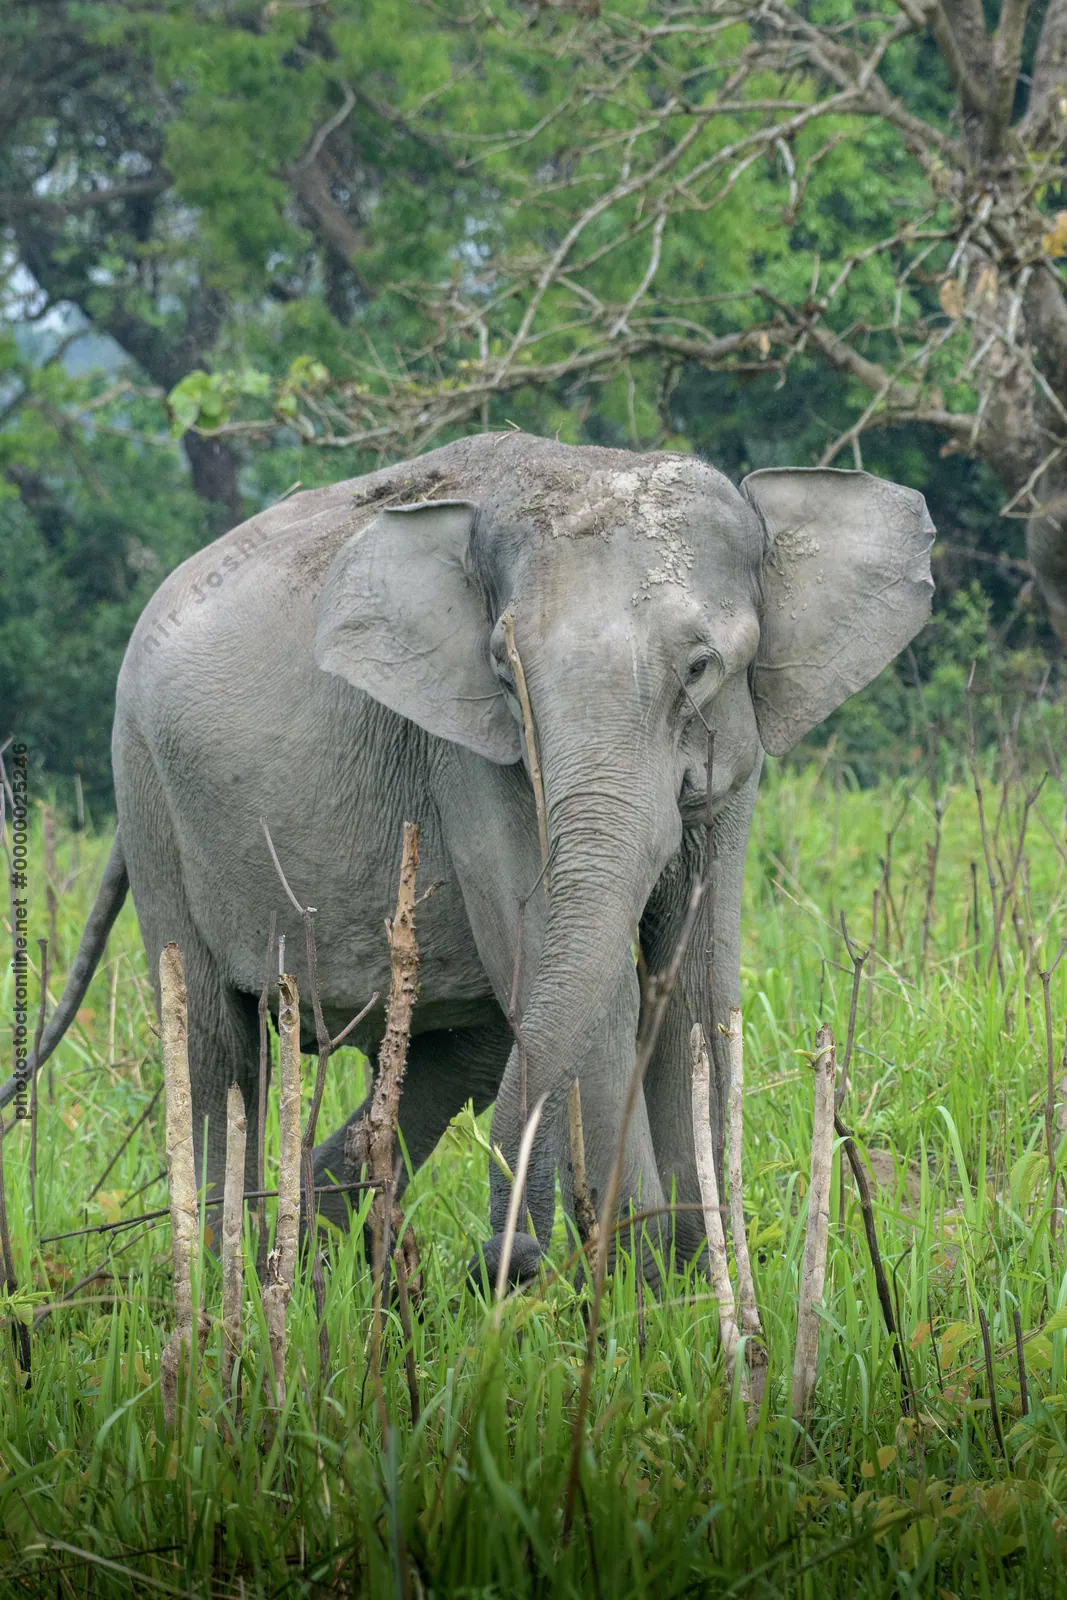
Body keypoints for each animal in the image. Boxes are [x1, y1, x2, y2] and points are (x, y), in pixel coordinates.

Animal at [5, 431, 934, 1277]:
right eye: (502, 666)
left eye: (701, 667)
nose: (506, 1258)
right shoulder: (465, 754)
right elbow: (579, 978)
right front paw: (643, 1293)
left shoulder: (732, 766)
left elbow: (698, 979)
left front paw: (698, 1290)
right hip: (149, 794)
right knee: (218, 1050)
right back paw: (219, 1280)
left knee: (462, 1050)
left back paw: (310, 1254)